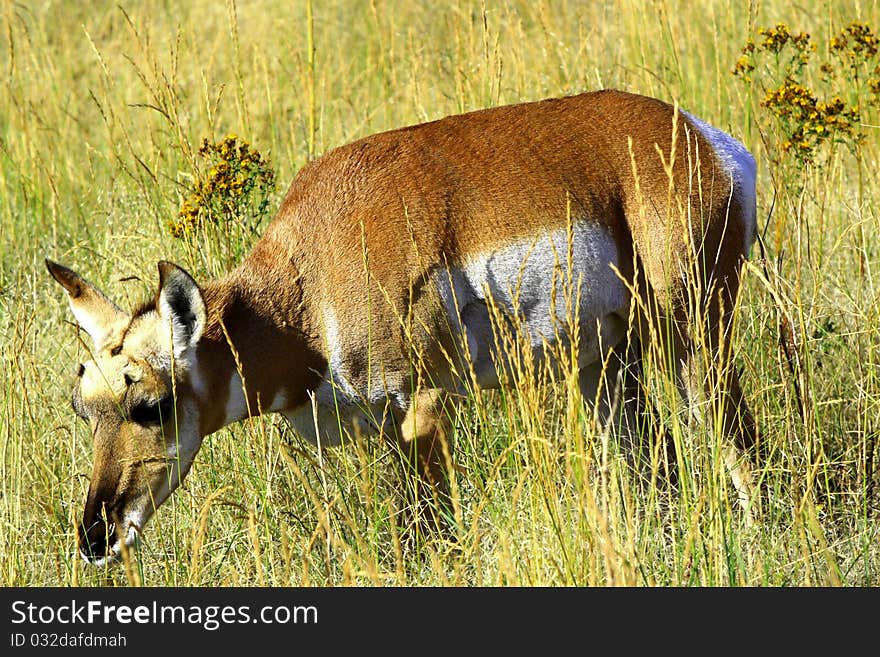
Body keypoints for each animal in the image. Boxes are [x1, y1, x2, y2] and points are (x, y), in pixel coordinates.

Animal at [51, 91, 760, 564]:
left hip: (697, 341)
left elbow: (431, 534)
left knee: (738, 443)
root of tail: (702, 138)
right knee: (658, 466)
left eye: (150, 405)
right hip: (606, 368)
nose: (94, 540)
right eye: (84, 406)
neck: (308, 282)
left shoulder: (424, 408)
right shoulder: (382, 431)